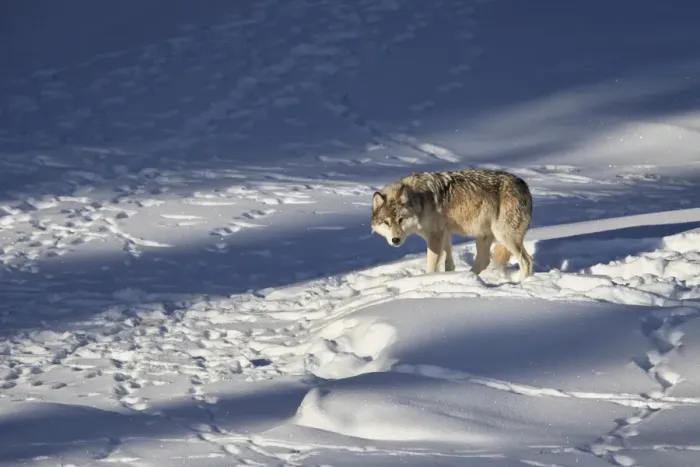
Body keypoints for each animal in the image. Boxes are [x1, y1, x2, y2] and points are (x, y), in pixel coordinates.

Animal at [370, 168, 533, 280]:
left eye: (400, 220)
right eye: (386, 222)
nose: (395, 240)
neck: (420, 201)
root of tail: (524, 185)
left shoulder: (435, 236)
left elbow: (431, 266)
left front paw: (427, 279)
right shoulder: (445, 233)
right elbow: (448, 262)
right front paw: (448, 276)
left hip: (505, 237)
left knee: (526, 260)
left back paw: (519, 283)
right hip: (483, 238)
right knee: (484, 261)